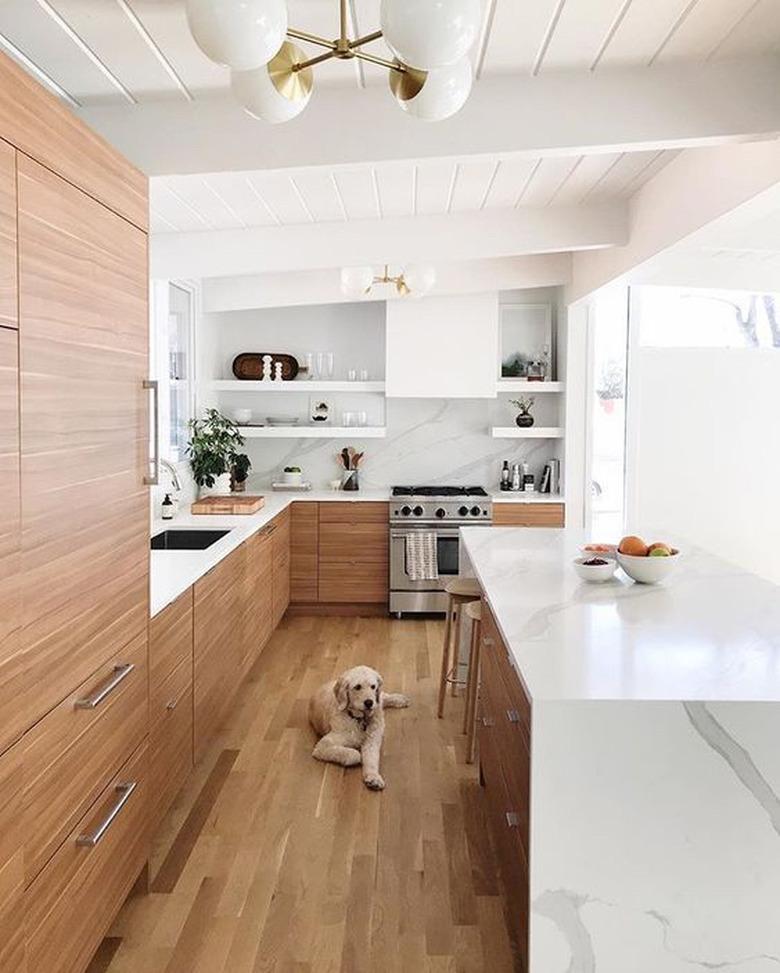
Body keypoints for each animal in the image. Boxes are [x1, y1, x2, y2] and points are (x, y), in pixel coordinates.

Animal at [310, 660, 412, 788]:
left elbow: (372, 760)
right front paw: (357, 757)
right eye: (357, 687)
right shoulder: (323, 746)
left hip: (379, 701)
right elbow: (354, 754)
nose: (369, 702)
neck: (360, 719)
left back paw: (401, 699)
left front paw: (373, 777)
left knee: (383, 697)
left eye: (373, 686)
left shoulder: (372, 741)